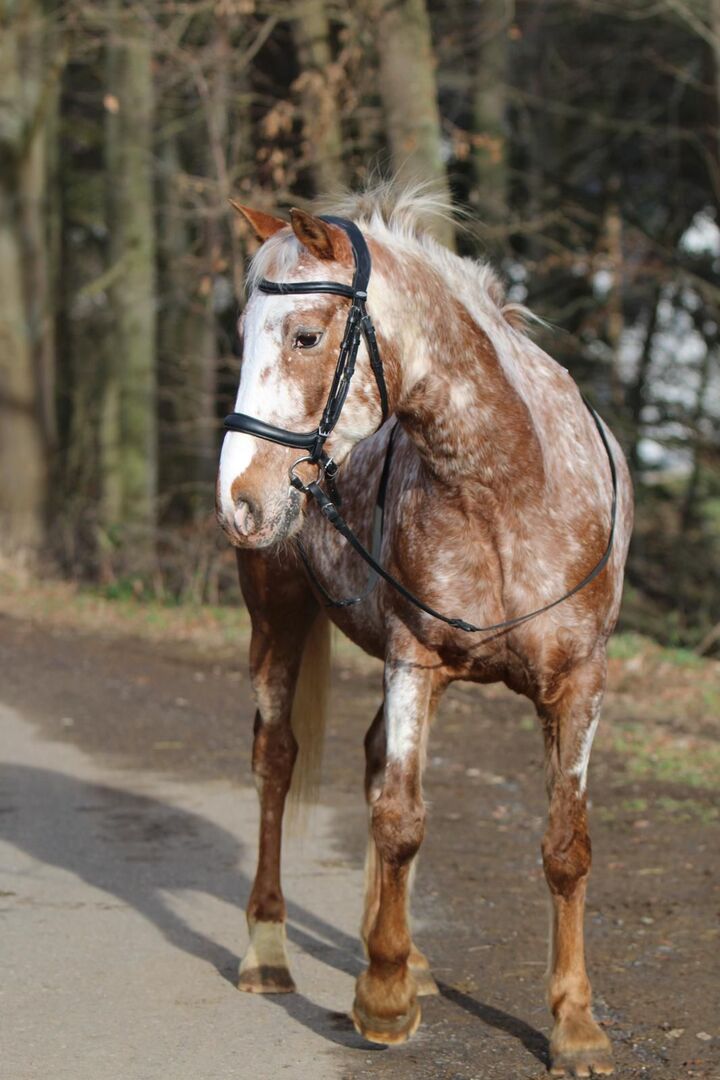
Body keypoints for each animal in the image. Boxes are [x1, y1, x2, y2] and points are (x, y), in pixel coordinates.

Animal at [216, 184, 633, 1077]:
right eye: (240, 333)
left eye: (306, 335)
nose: (240, 500)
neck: (511, 486)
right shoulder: (414, 662)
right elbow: (400, 819)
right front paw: (382, 1002)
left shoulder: (579, 683)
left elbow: (565, 845)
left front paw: (576, 1025)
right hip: (278, 619)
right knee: (276, 763)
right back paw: (270, 952)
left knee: (374, 759)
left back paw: (404, 952)